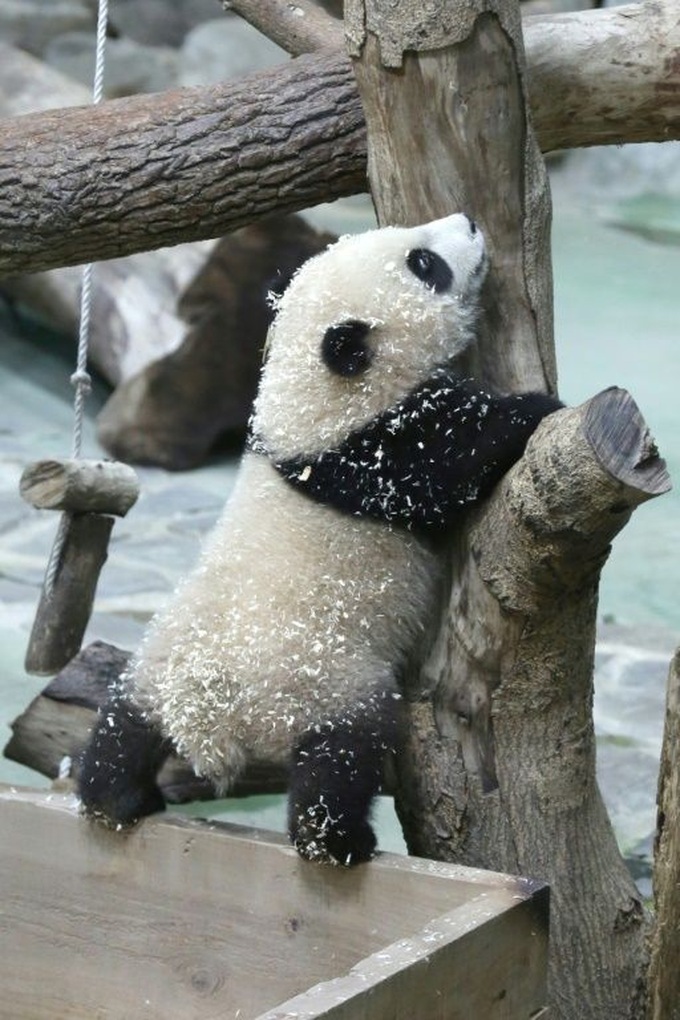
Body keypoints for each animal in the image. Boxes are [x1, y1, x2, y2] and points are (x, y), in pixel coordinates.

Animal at [78, 212, 562, 865]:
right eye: (424, 264)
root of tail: (213, 720)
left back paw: (114, 796)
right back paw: (342, 843)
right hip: (327, 683)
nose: (467, 223)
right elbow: (453, 456)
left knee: (120, 728)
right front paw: (538, 408)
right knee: (339, 764)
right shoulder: (370, 452)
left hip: (160, 663)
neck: (306, 399)